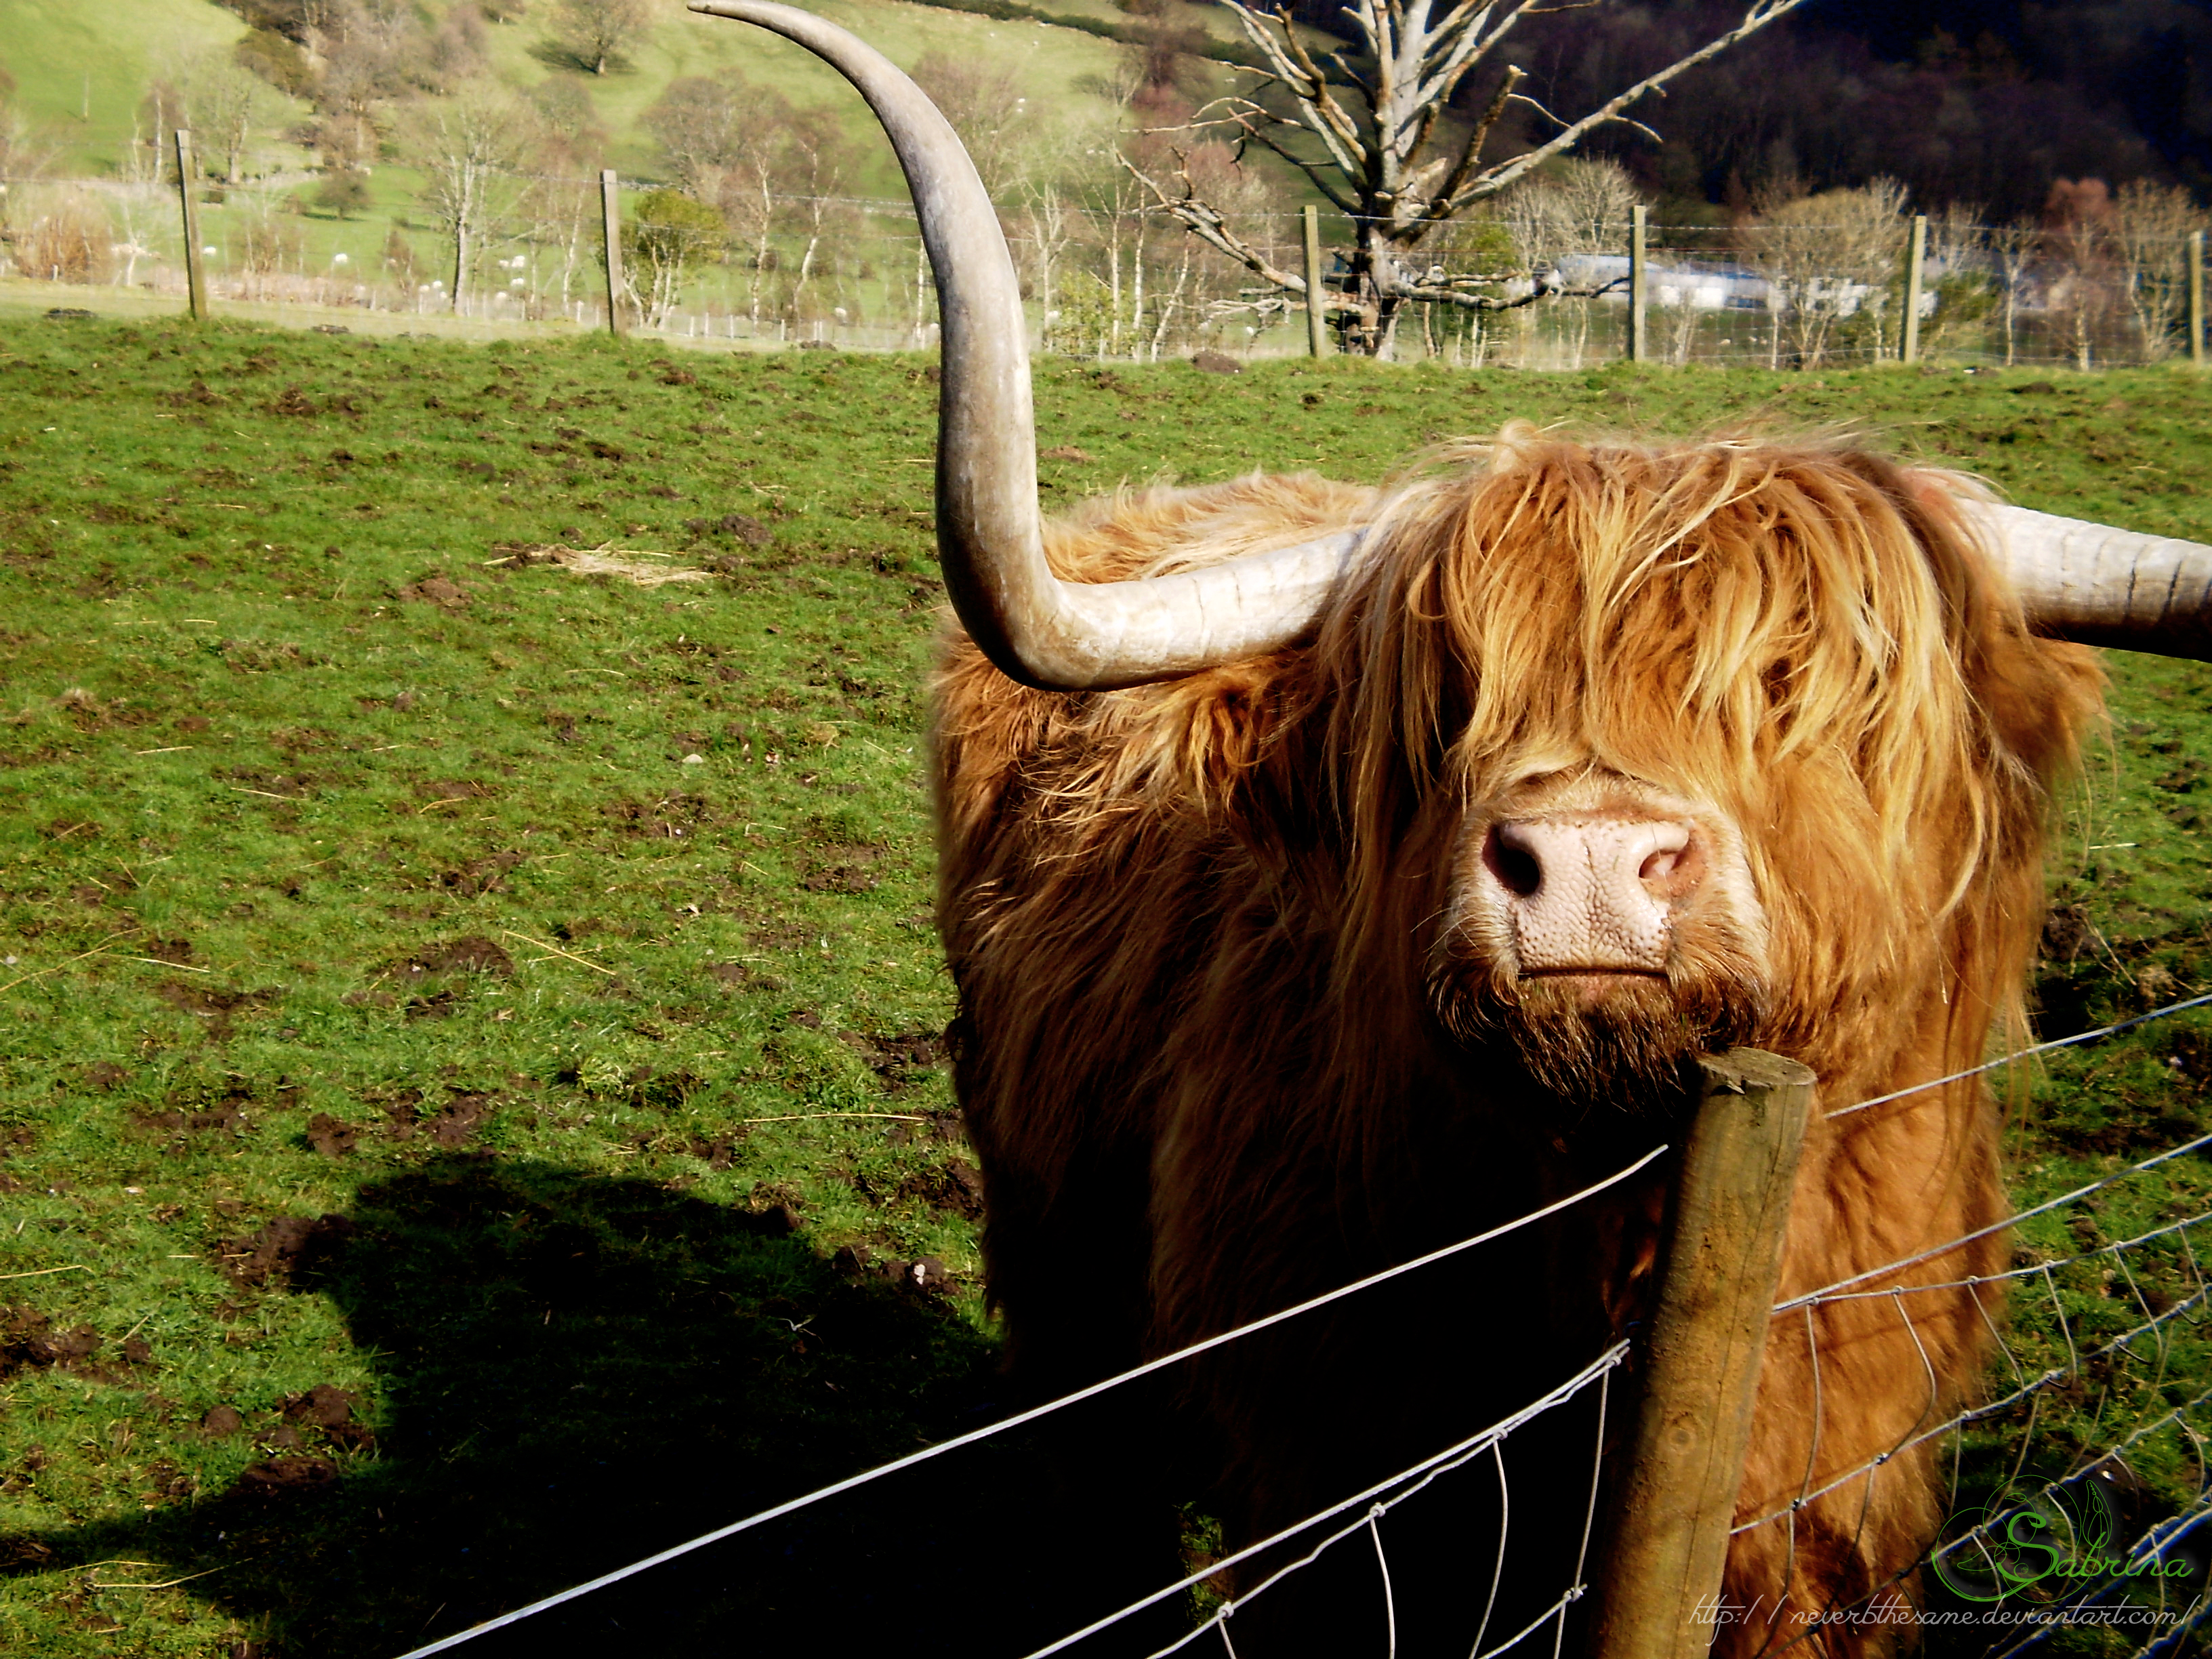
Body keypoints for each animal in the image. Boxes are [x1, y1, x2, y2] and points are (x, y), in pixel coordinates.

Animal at [699, 6, 2212, 1654]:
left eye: (1815, 692)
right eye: (1450, 697)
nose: (1593, 871)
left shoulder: (1832, 1520)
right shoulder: (1334, 1504)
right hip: (1052, 1252)